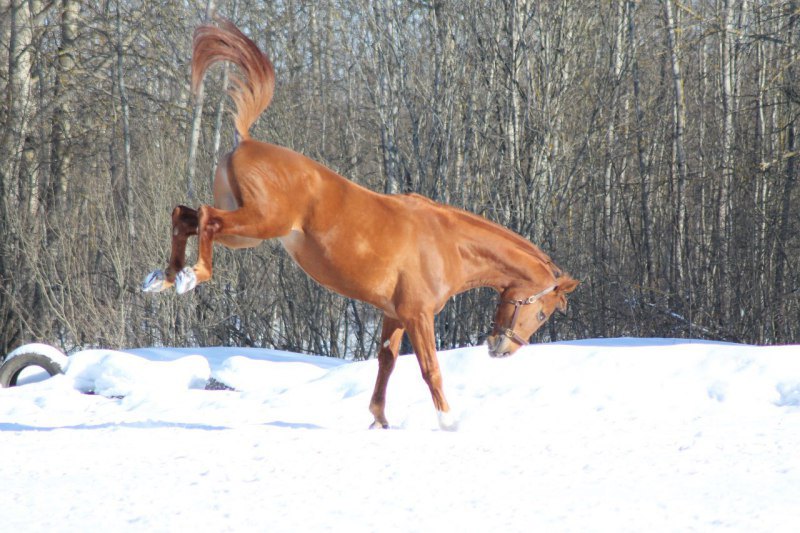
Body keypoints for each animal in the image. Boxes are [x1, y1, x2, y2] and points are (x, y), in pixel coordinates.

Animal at [142, 18, 576, 430]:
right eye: (541, 313)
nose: (502, 348)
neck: (447, 243)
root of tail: (245, 141)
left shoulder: (394, 315)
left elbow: (386, 362)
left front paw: (380, 418)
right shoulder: (418, 315)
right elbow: (430, 369)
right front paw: (448, 421)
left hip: (245, 234)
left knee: (184, 215)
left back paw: (164, 277)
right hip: (258, 225)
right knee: (205, 218)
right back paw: (191, 276)